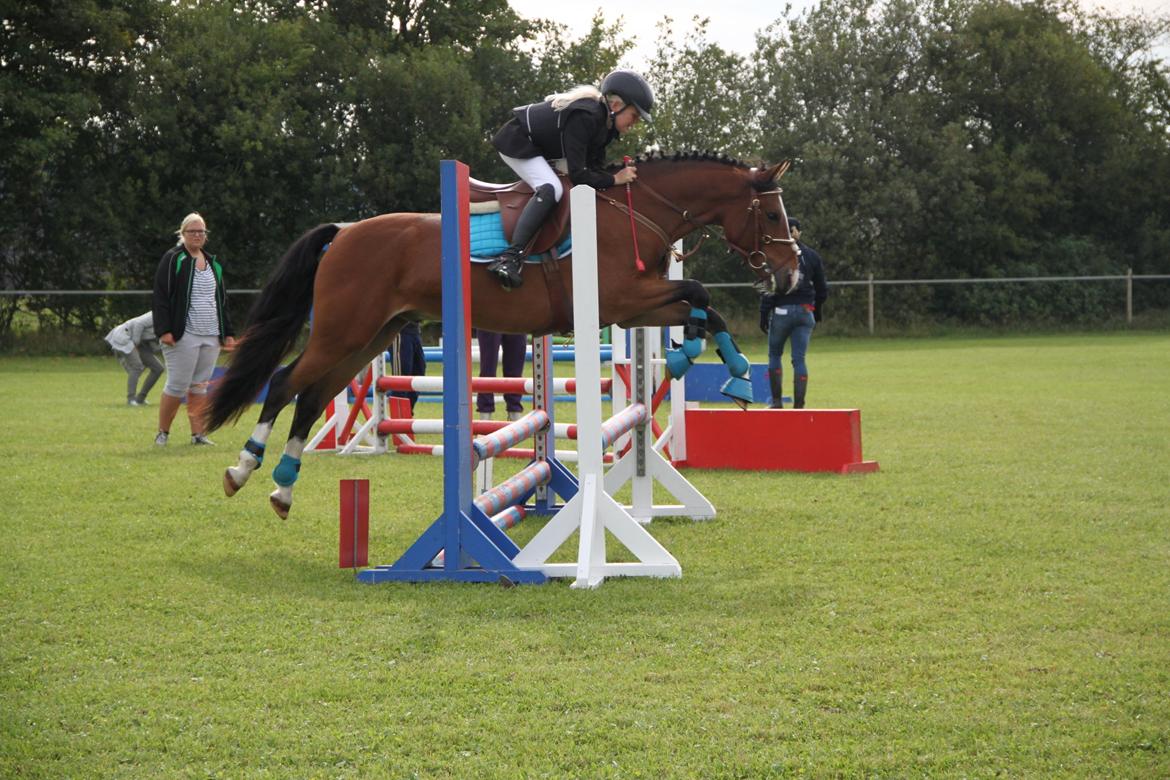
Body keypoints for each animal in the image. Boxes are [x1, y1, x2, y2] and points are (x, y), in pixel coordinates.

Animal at [207, 151, 803, 519]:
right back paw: (242, 469)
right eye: (774, 213)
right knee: (286, 382)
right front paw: (730, 374)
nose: (792, 275)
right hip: (343, 330)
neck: (637, 211)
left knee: (311, 396)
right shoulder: (622, 301)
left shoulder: (635, 311)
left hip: (373, 336)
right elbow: (699, 293)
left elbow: (702, 306)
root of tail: (345, 231)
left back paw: (283, 488)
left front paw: (719, 370)